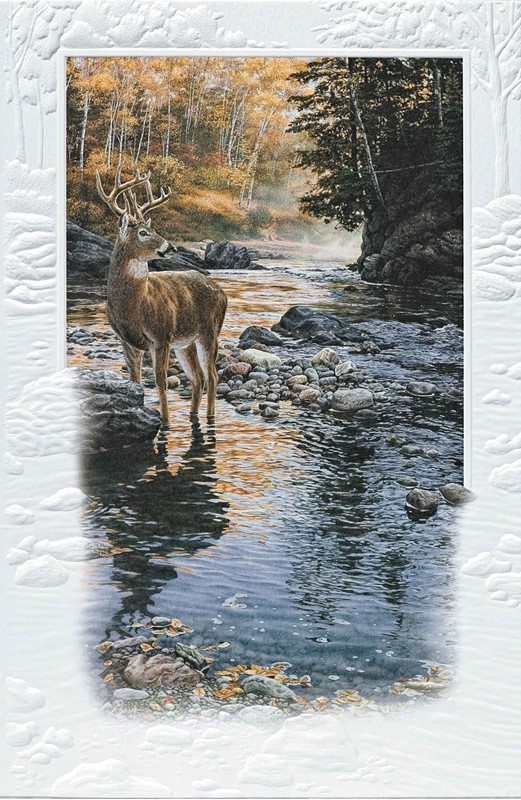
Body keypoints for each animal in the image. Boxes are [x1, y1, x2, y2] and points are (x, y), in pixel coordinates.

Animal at [95, 168, 227, 426]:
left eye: (154, 230)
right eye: (143, 232)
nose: (171, 248)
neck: (136, 306)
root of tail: (222, 292)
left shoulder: (161, 336)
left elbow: (160, 382)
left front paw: (165, 423)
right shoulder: (127, 341)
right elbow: (135, 381)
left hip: (209, 333)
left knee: (212, 376)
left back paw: (209, 418)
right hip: (185, 342)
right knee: (198, 378)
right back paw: (193, 415)